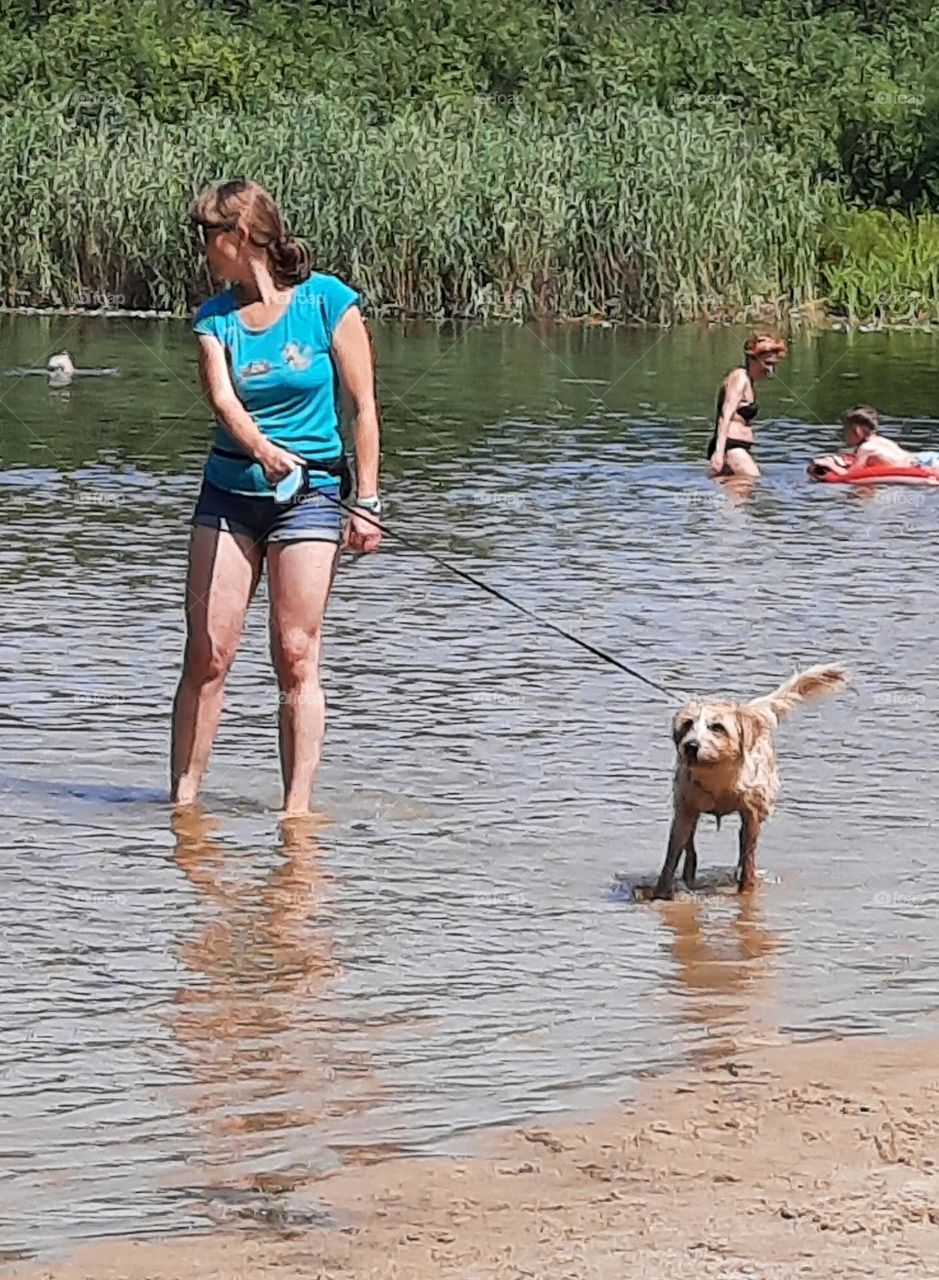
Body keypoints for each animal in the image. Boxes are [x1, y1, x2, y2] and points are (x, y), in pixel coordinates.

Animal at [654, 670, 854, 901]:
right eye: (687, 724)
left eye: (717, 727)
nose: (691, 746)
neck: (719, 777)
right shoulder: (684, 810)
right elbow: (672, 853)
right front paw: (661, 892)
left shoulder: (752, 814)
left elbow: (748, 856)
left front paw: (746, 888)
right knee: (690, 844)